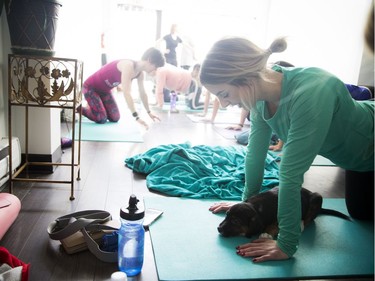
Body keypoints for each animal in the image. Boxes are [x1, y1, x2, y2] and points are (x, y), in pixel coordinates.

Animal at [219, 186, 352, 238]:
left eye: (236, 221)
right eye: (226, 215)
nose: (218, 229)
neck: (257, 207)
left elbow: (274, 225)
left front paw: (266, 234)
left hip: (317, 198)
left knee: (309, 219)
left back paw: (301, 225)